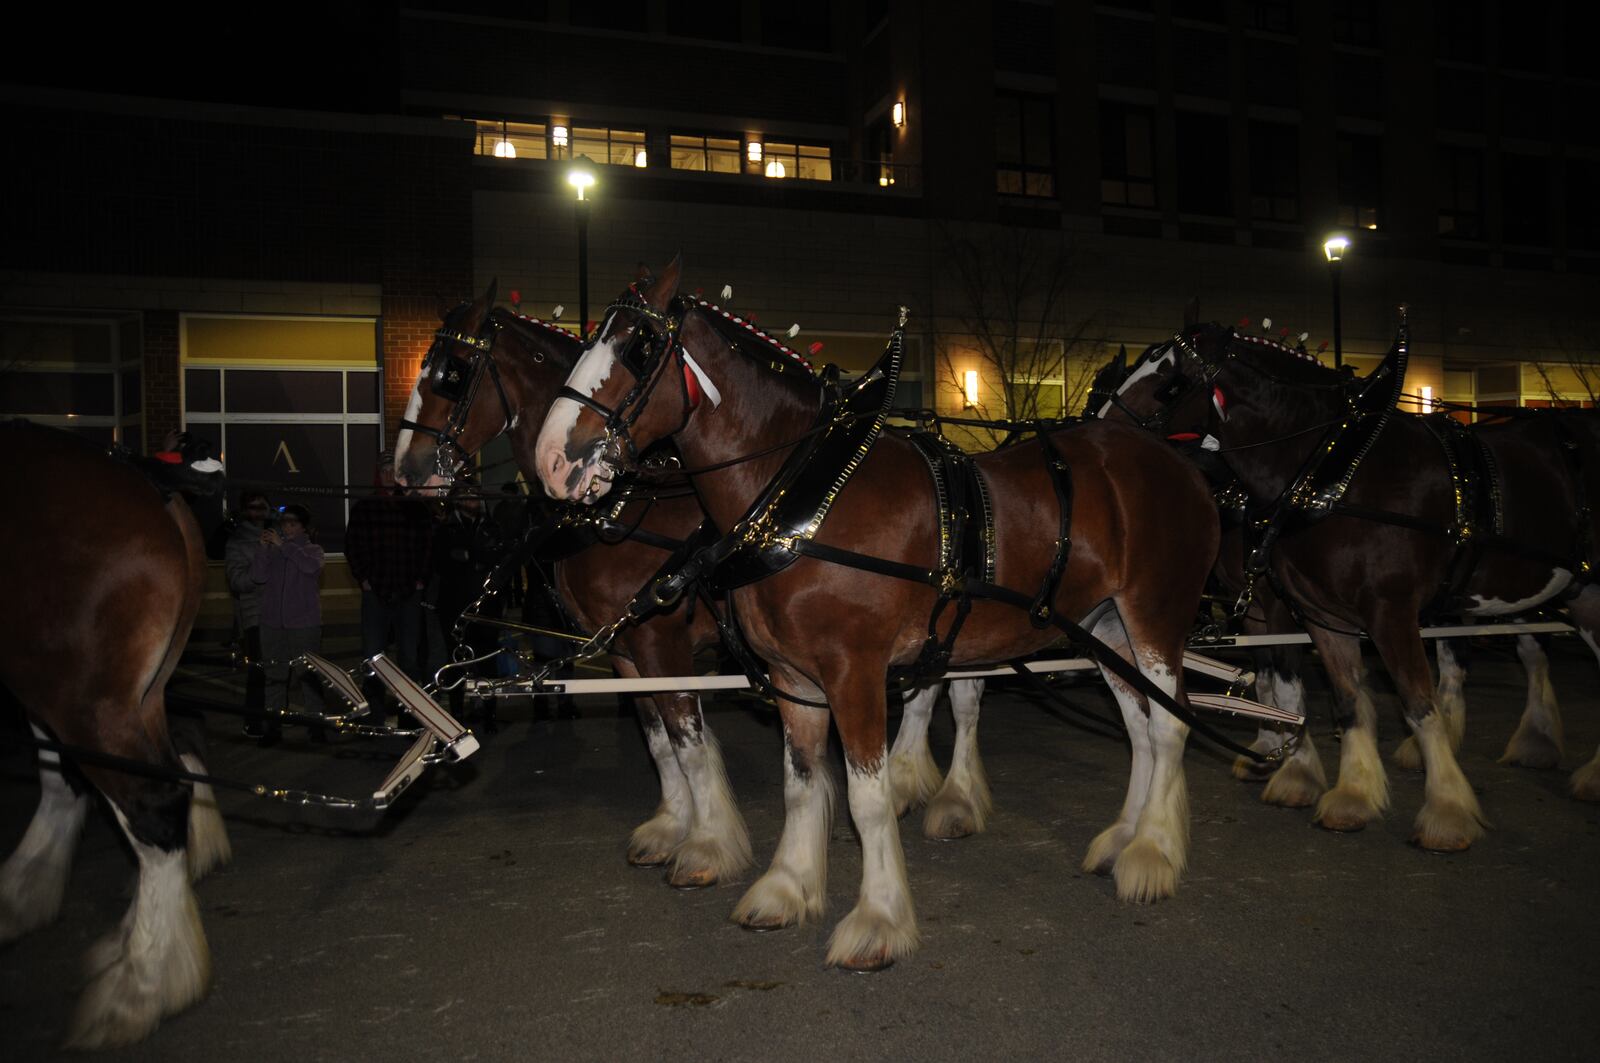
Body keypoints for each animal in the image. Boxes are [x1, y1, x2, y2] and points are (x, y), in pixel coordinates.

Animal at [531, 264, 1216, 973]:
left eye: (638, 347)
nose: (552, 460)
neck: (804, 501)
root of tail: (1179, 466)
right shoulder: (793, 678)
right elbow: (801, 783)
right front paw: (787, 888)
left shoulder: (852, 673)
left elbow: (866, 797)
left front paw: (878, 920)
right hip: (1106, 626)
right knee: (1139, 727)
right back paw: (1124, 838)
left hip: (1155, 617)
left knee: (1169, 726)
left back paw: (1151, 854)